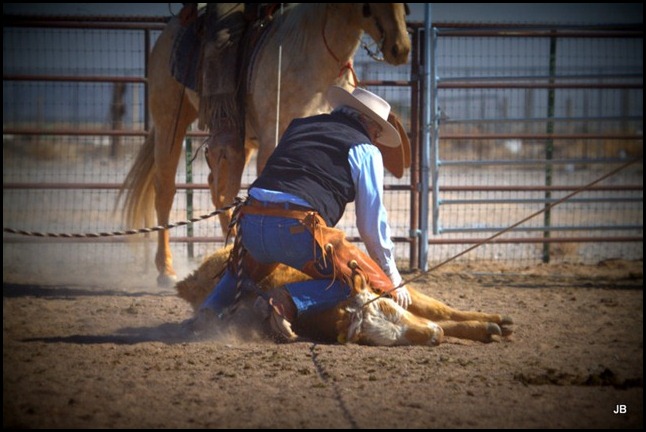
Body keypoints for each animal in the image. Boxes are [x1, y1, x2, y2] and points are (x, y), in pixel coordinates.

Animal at [119, 4, 412, 287]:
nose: (400, 47)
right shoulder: (273, 135)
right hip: (170, 120)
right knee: (167, 191)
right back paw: (166, 269)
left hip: (240, 140)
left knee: (220, 188)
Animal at [176, 246, 515, 346]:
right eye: (383, 341)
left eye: (389, 309)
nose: (434, 337)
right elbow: (440, 319)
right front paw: (487, 328)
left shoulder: (396, 293)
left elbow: (443, 312)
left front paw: (494, 322)